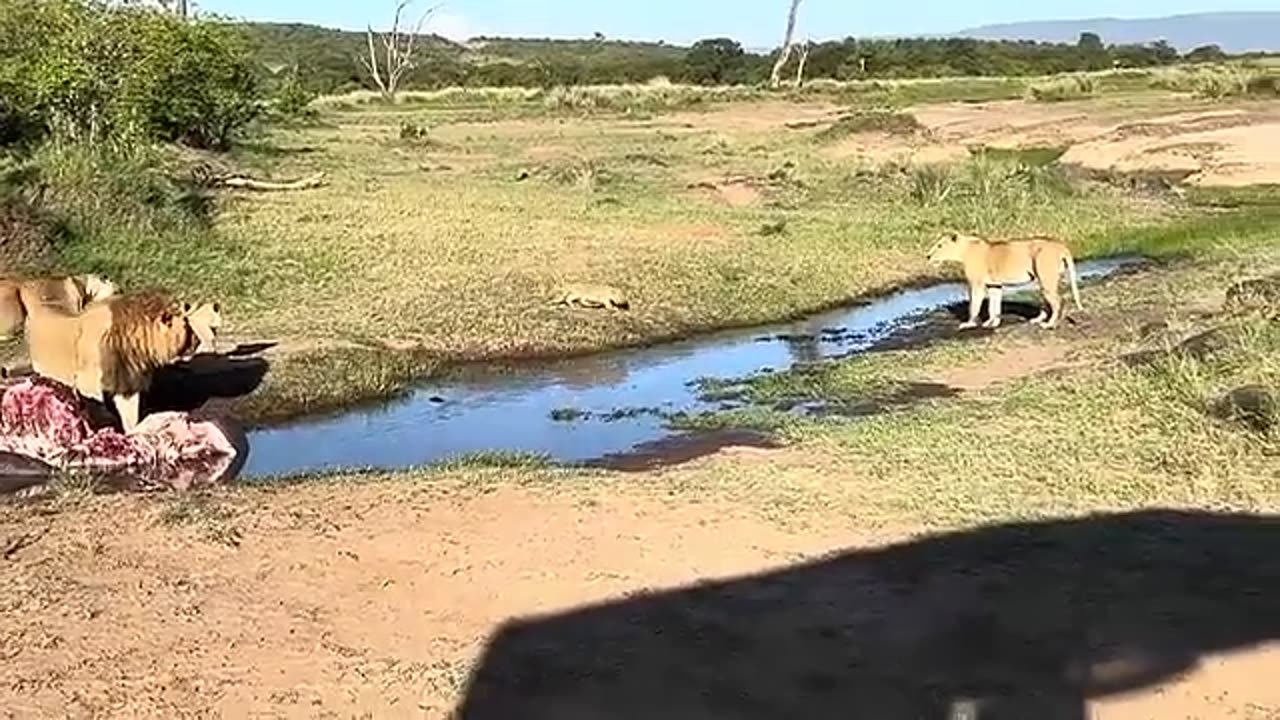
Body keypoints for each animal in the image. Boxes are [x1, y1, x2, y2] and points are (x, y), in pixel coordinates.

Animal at [22, 288, 202, 432]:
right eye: (188, 328)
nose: (199, 341)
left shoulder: (127, 386)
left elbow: (131, 417)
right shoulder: (89, 384)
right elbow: (97, 408)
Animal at [926, 231, 1082, 330]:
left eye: (940, 245)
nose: (928, 256)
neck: (964, 251)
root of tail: (1061, 246)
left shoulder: (976, 284)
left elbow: (974, 306)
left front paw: (969, 323)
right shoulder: (994, 285)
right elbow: (993, 306)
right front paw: (992, 323)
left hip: (1046, 278)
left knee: (1058, 301)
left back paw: (1050, 324)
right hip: (1043, 280)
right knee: (1049, 302)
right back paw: (1039, 319)